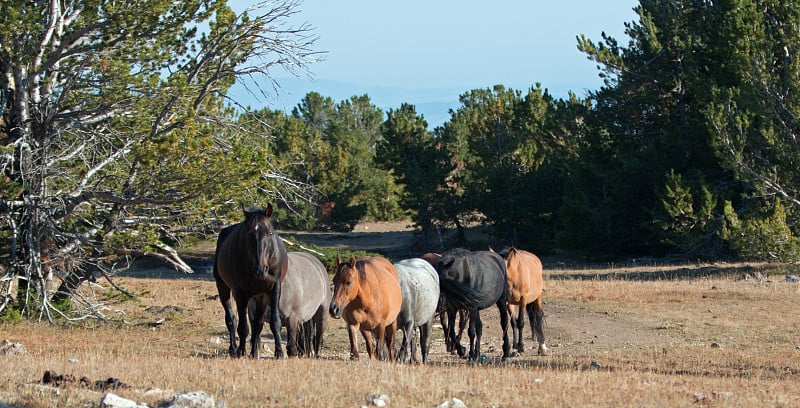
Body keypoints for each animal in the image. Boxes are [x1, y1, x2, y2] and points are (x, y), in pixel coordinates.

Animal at [212, 203, 288, 356]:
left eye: (270, 233)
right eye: (248, 234)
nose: (261, 269)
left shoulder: (273, 290)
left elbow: (272, 322)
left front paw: (278, 352)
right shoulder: (240, 291)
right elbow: (243, 327)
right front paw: (241, 351)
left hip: (259, 296)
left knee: (256, 323)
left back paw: (253, 351)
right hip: (223, 287)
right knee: (231, 319)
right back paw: (234, 348)